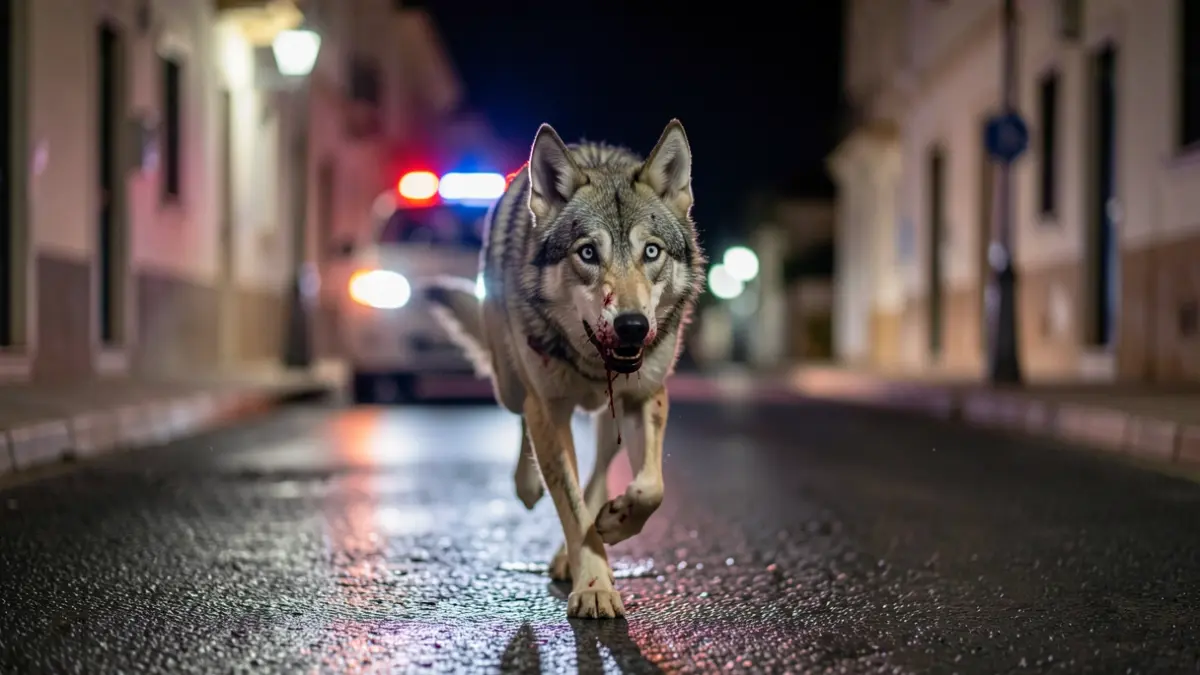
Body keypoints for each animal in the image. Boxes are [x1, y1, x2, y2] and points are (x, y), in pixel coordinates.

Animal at [424, 119, 704, 618]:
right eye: (588, 253)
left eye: (651, 252)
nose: (633, 326)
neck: (591, 362)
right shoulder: (550, 409)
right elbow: (570, 504)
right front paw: (593, 585)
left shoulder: (645, 398)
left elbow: (650, 488)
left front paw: (615, 523)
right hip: (511, 385)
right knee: (524, 424)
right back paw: (528, 486)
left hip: (609, 417)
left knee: (598, 470)